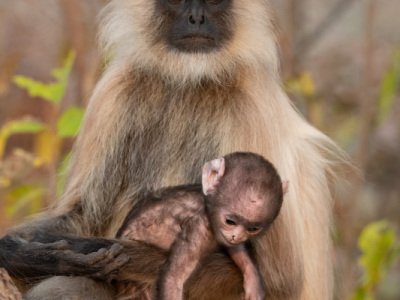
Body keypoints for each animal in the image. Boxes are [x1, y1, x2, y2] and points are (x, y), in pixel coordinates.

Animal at [116, 152, 288, 300]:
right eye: (230, 221)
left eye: (252, 229)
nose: (236, 236)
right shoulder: (198, 227)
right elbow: (174, 277)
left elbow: (233, 248)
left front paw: (253, 281)